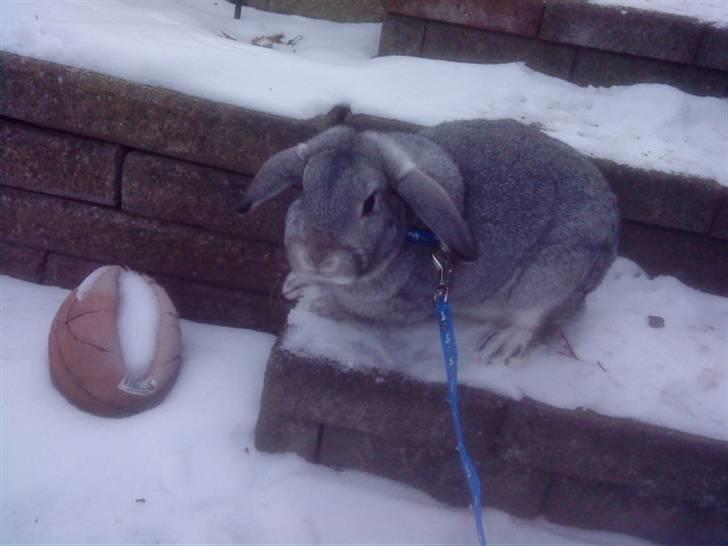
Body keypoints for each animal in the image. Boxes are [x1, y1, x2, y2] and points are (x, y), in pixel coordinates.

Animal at [242, 121, 616, 364]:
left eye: (370, 203)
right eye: (304, 189)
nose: (317, 255)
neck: (408, 232)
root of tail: (612, 228)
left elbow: (353, 310)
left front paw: (323, 305)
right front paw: (298, 283)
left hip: (548, 277)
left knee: (536, 316)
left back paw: (501, 344)